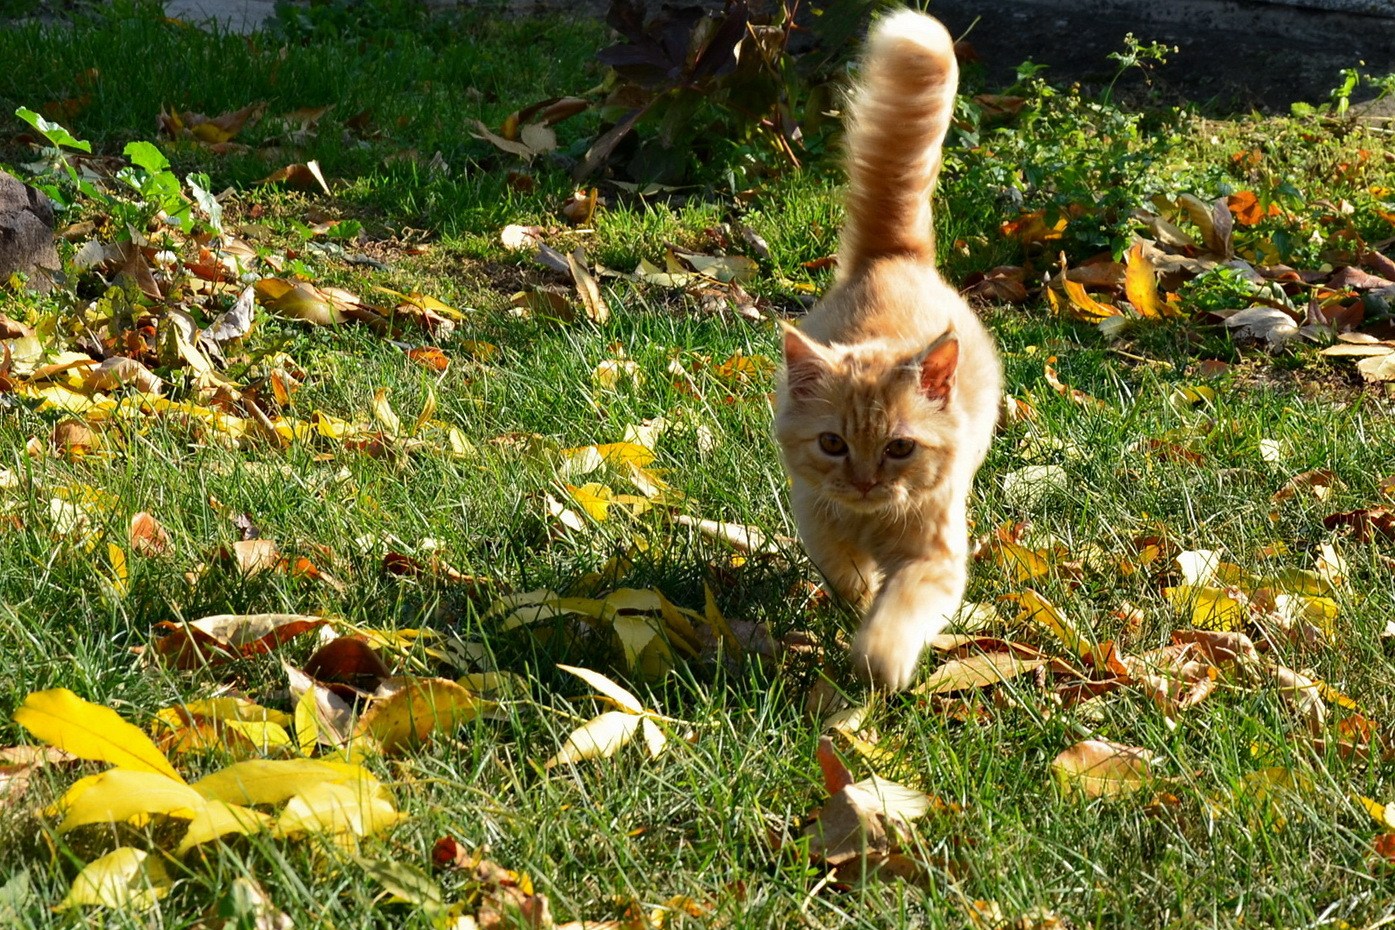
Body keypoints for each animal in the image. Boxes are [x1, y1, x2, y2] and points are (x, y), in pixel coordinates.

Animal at [775, 7, 1004, 691]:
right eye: (832, 443)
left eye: (899, 448)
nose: (865, 481)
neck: (871, 521)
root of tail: (894, 254)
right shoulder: (813, 511)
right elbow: (844, 569)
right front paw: (857, 595)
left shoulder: (937, 560)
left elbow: (899, 609)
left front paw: (879, 659)